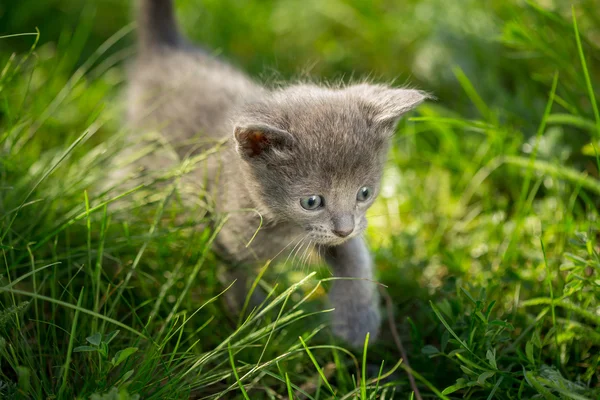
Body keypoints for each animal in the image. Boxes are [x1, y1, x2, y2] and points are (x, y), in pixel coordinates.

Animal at [126, 0, 428, 346]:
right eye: (311, 202)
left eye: (364, 193)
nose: (344, 229)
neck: (286, 229)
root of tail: (167, 50)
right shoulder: (226, 233)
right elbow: (238, 279)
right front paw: (254, 328)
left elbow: (354, 255)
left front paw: (356, 322)